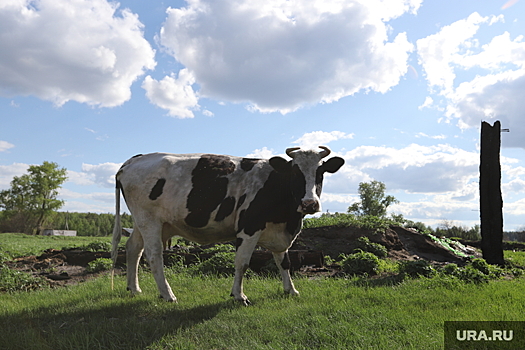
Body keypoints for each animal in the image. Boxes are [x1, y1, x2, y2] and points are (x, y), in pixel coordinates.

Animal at [110, 145, 344, 304]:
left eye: (320, 172)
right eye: (295, 172)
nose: (309, 203)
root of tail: (135, 159)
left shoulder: (279, 233)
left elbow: (284, 263)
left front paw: (291, 290)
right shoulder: (249, 227)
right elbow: (242, 263)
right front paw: (239, 295)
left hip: (143, 223)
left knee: (133, 248)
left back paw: (134, 288)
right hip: (149, 220)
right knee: (153, 255)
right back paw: (168, 294)